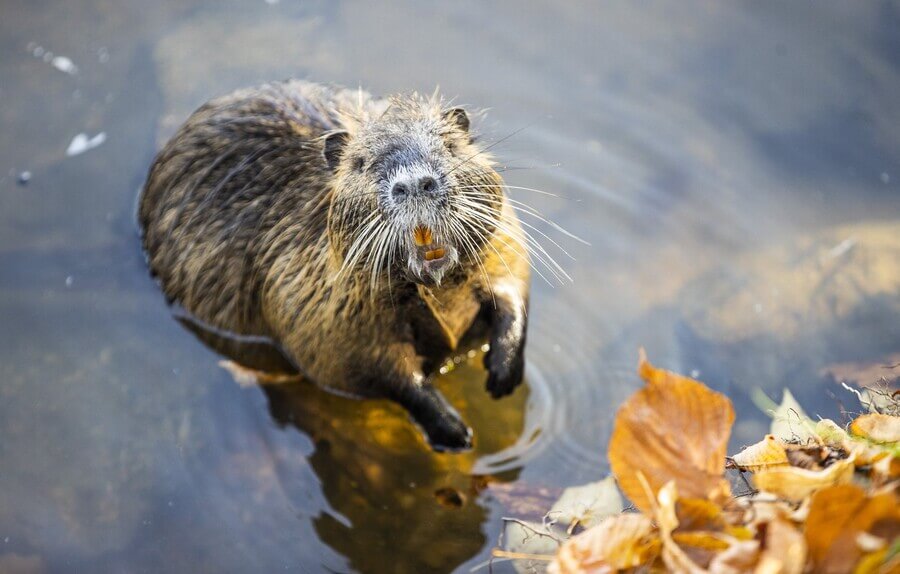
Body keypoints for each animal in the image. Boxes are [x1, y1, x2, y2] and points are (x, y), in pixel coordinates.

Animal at [140, 81, 532, 452]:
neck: (437, 288)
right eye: (360, 163)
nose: (414, 184)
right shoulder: (310, 294)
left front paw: (502, 375)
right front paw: (455, 431)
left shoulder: (503, 238)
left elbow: (512, 285)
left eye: (450, 146)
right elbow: (373, 367)